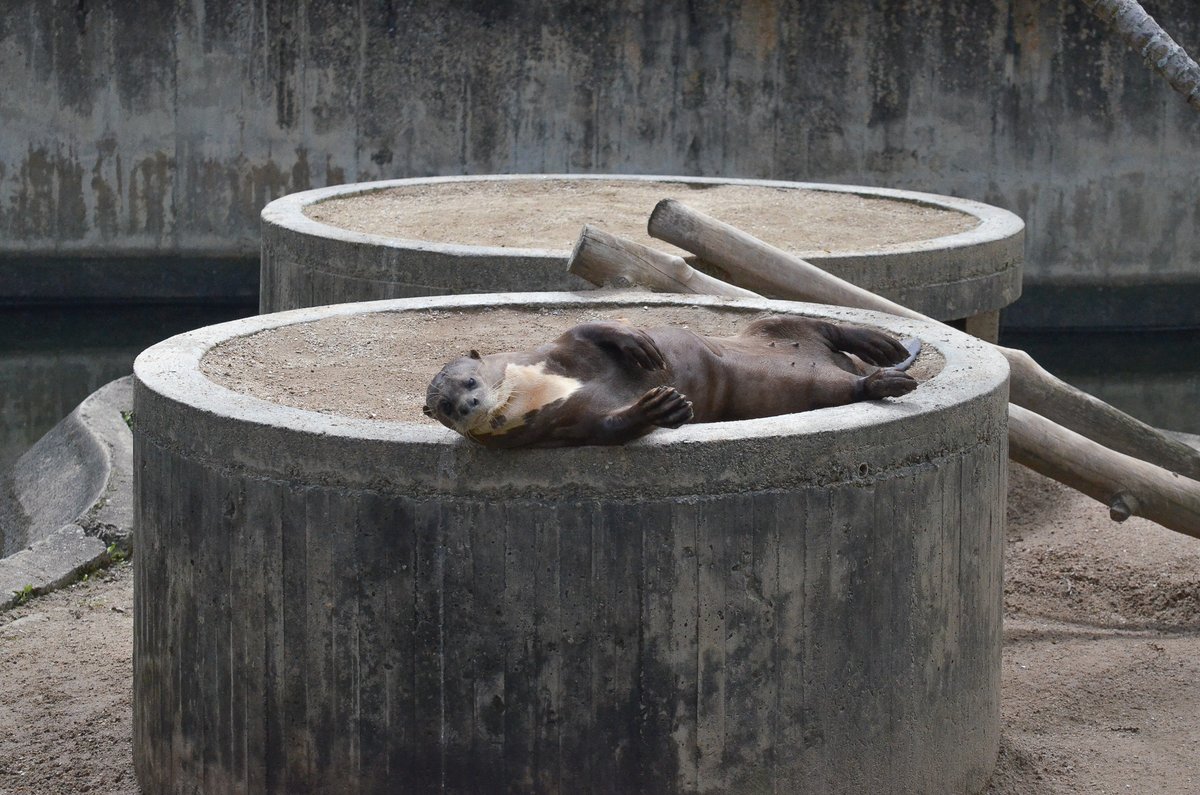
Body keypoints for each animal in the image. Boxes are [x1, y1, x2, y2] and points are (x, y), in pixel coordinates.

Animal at [427, 317, 921, 449]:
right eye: (446, 407)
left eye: (468, 380)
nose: (468, 406)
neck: (545, 390)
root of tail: (841, 365)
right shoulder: (561, 425)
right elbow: (606, 428)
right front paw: (660, 408)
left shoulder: (559, 347)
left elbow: (597, 327)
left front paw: (642, 346)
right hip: (807, 390)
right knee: (846, 387)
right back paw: (885, 381)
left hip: (774, 323)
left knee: (826, 327)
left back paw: (881, 344)